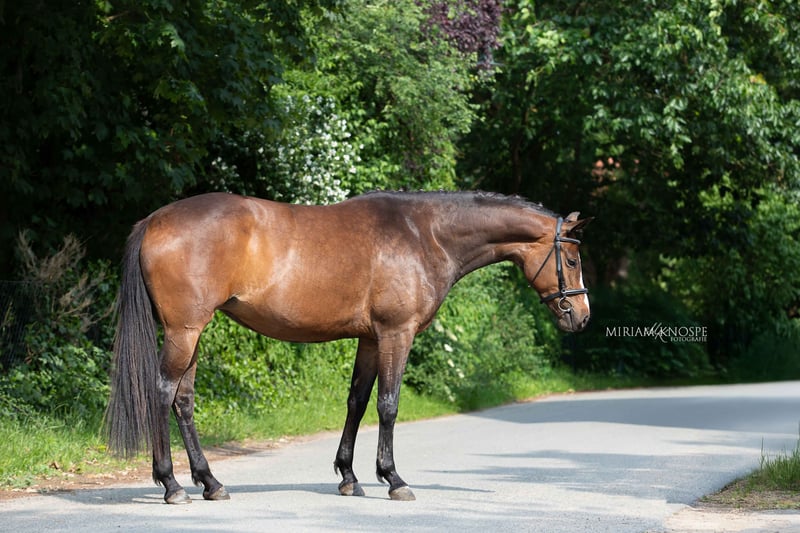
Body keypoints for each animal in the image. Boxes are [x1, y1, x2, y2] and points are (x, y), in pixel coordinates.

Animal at [104, 190, 591, 504]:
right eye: (570, 259)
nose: (582, 317)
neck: (425, 234)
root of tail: (155, 220)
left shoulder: (371, 339)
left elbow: (357, 402)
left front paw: (349, 476)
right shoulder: (396, 334)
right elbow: (388, 405)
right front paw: (393, 479)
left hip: (192, 333)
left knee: (183, 400)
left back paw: (211, 482)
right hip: (184, 331)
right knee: (162, 393)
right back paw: (172, 485)